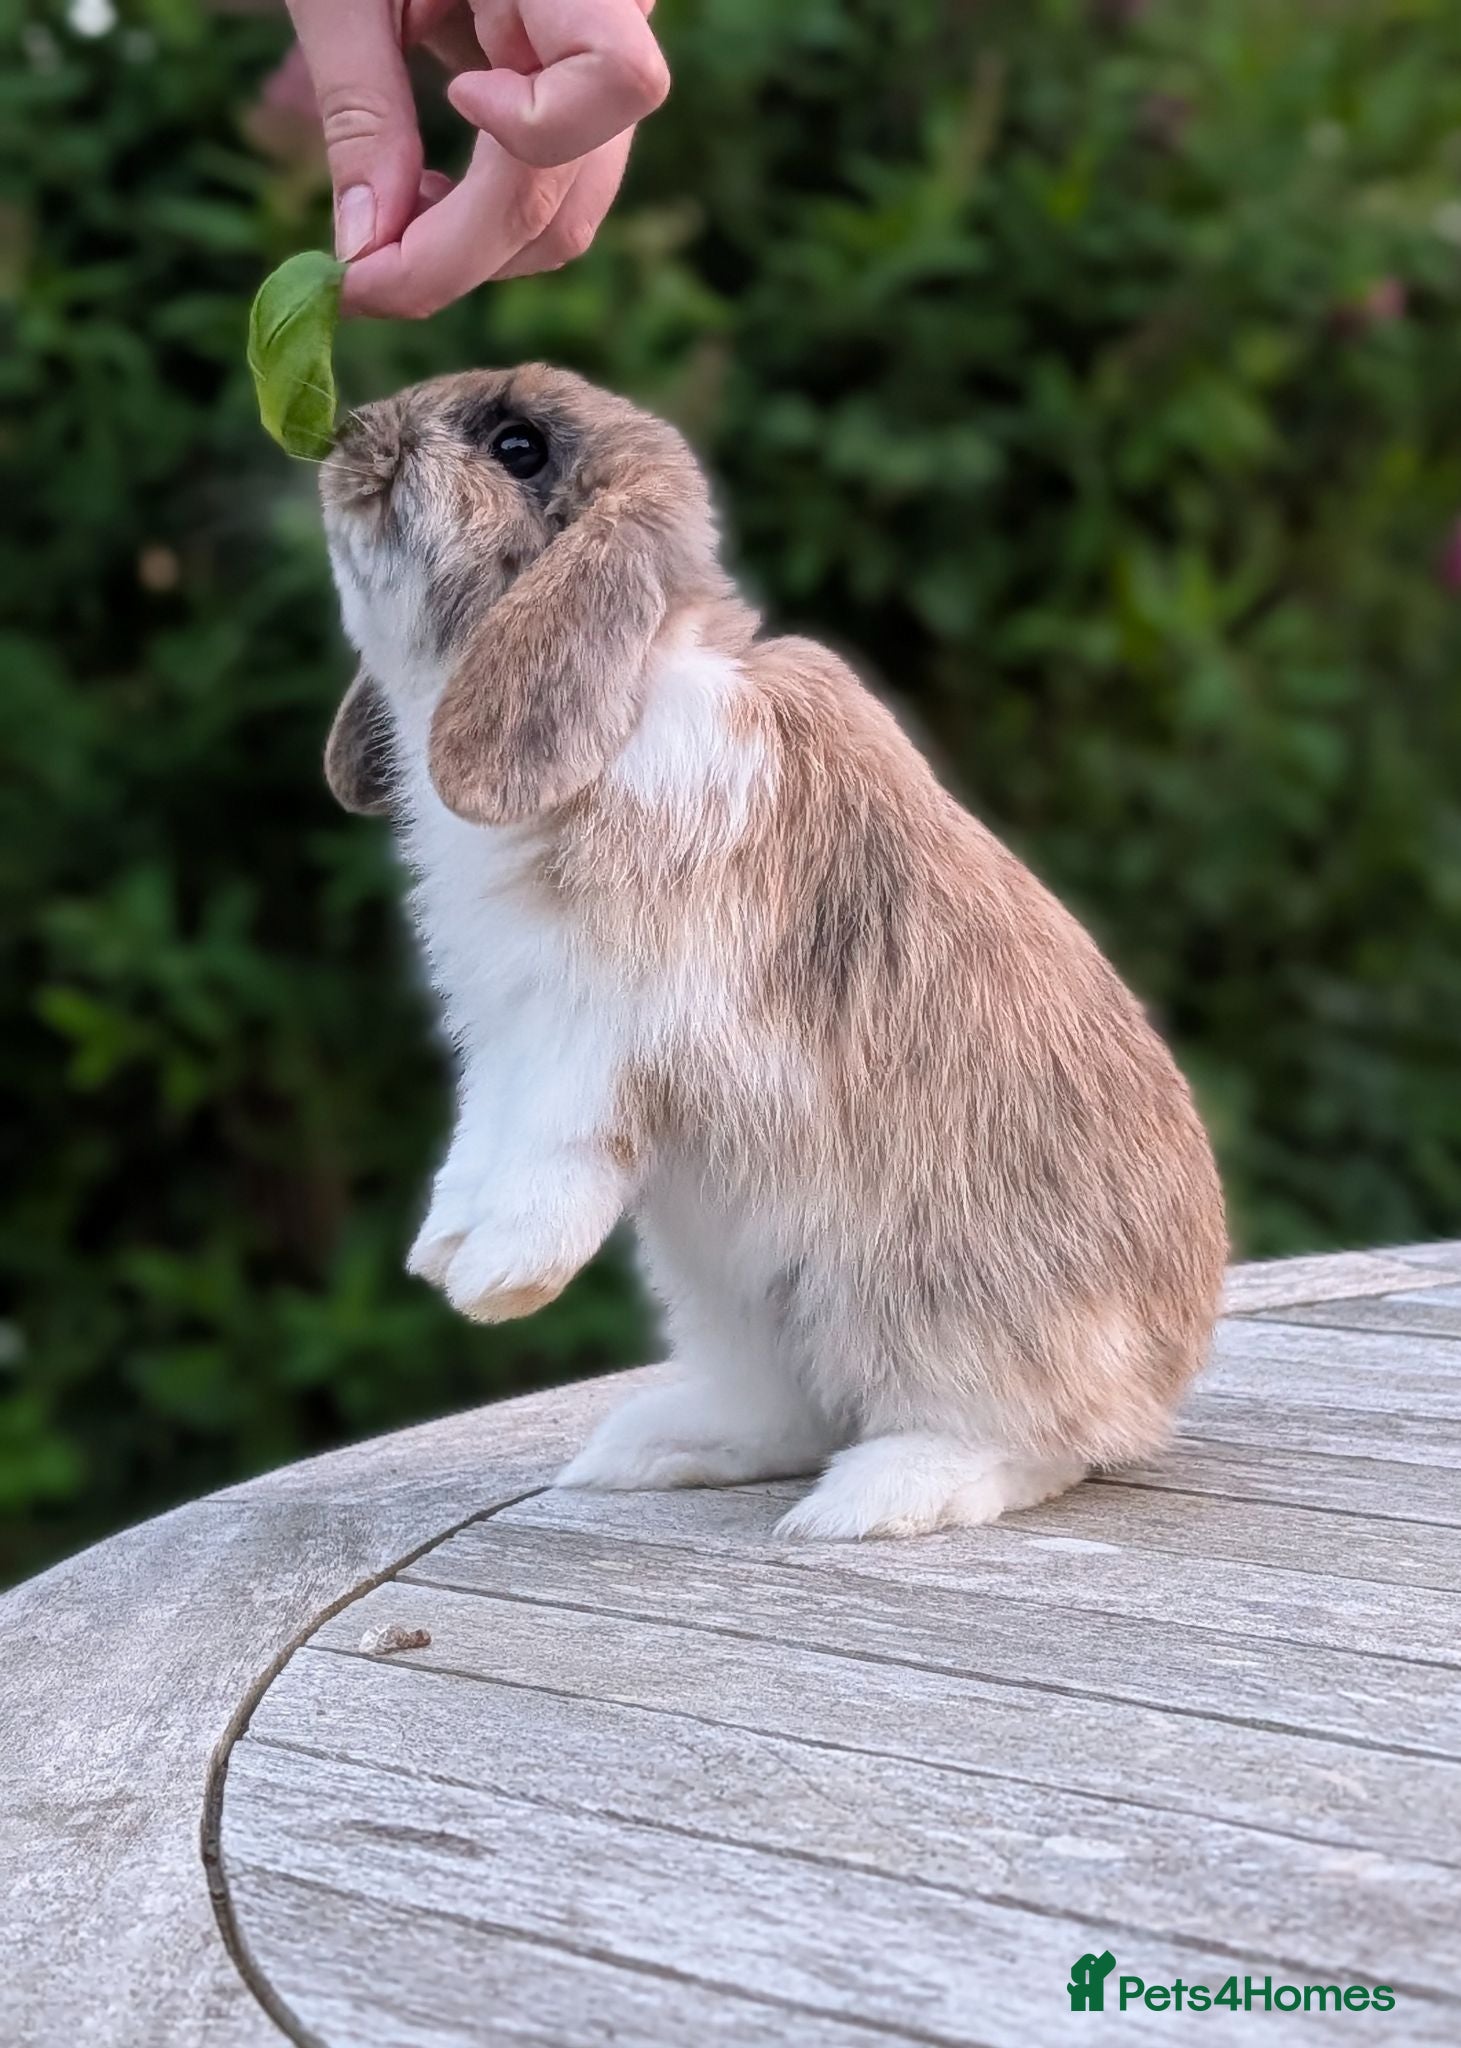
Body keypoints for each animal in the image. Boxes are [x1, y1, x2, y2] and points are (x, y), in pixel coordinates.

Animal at [319, 363, 1227, 1540]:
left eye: (517, 446)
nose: (351, 436)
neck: (634, 695)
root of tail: (1166, 1369)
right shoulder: (506, 1028)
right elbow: (482, 1141)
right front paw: (442, 1246)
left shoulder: (608, 1024)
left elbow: (556, 1146)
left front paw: (499, 1279)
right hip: (738, 1294)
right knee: (796, 1412)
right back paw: (655, 1447)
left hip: (944, 1310)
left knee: (1031, 1441)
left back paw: (874, 1499)